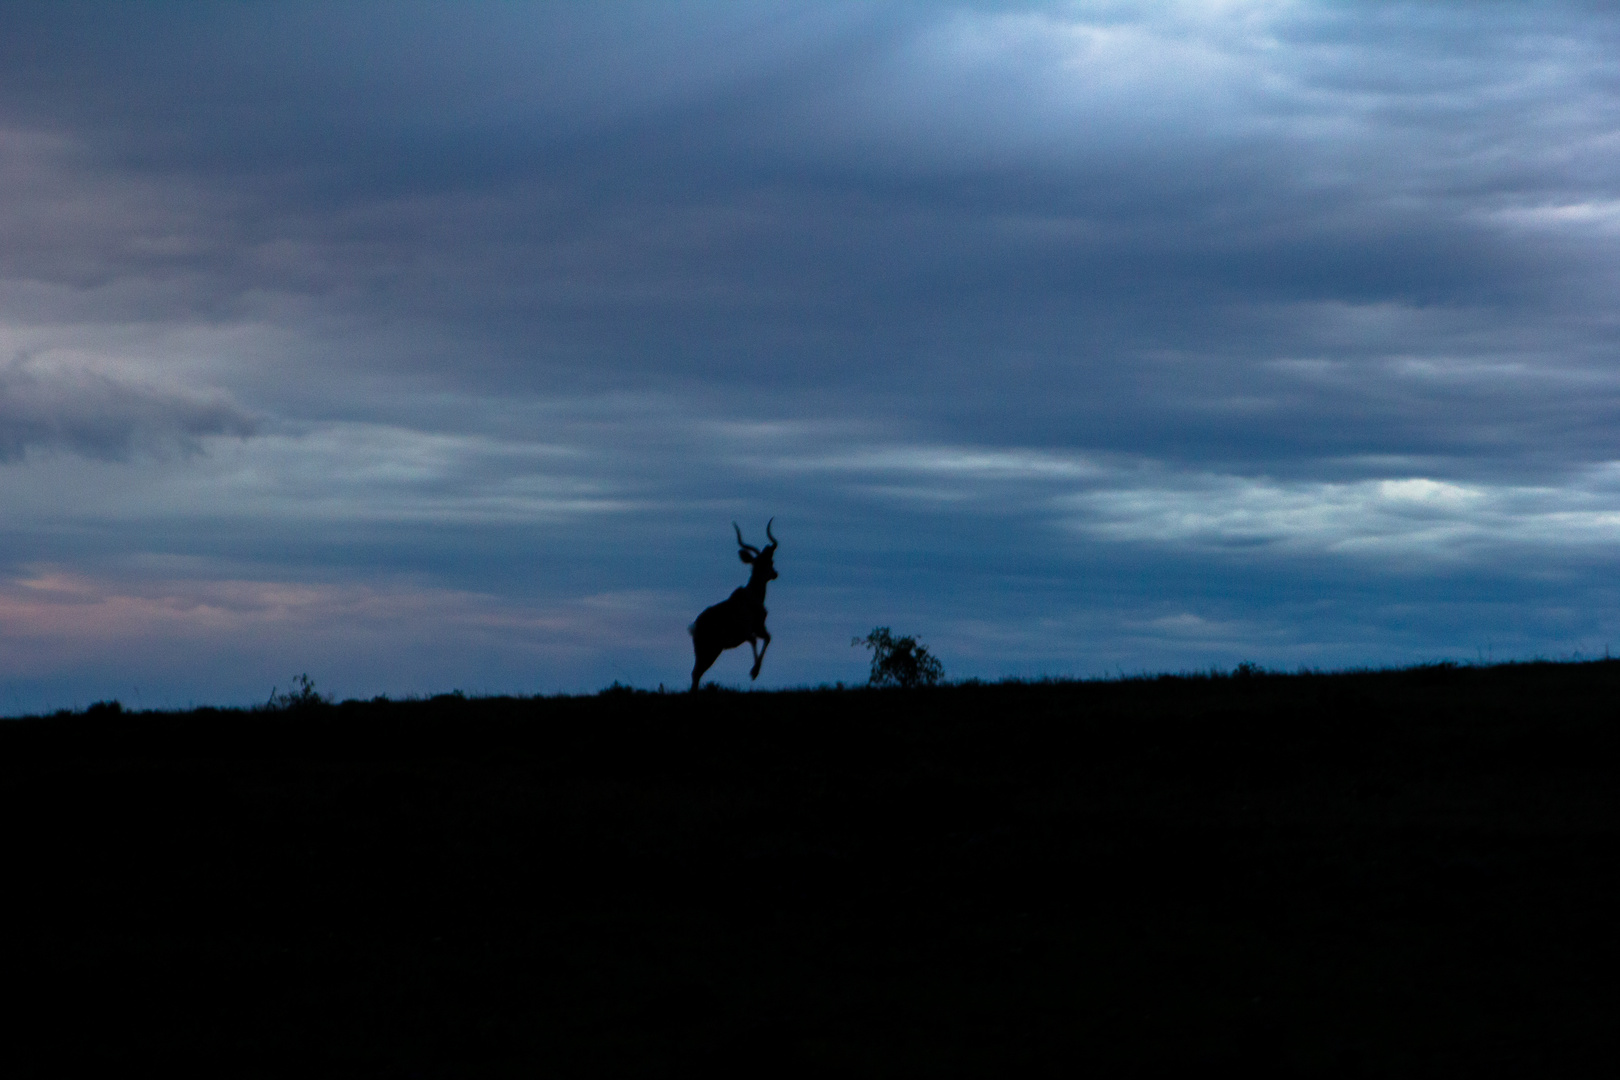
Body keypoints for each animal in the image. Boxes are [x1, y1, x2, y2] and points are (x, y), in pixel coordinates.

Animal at [690, 521, 777, 693]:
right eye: (768, 562)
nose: (774, 574)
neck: (752, 597)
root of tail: (695, 626)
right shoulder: (745, 631)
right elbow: (755, 640)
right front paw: (754, 672)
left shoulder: (759, 628)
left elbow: (767, 637)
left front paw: (755, 671)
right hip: (710, 650)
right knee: (696, 673)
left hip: (709, 651)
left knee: (696, 673)